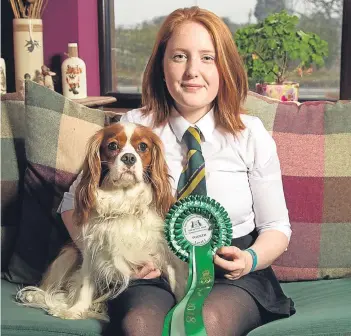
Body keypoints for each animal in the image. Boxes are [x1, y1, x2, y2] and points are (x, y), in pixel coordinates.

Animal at [17, 122, 187, 320]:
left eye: (143, 146)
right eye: (112, 146)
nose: (129, 158)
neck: (124, 200)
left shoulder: (167, 255)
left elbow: (179, 284)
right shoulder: (93, 249)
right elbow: (84, 285)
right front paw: (75, 310)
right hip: (68, 255)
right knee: (51, 288)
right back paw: (35, 295)